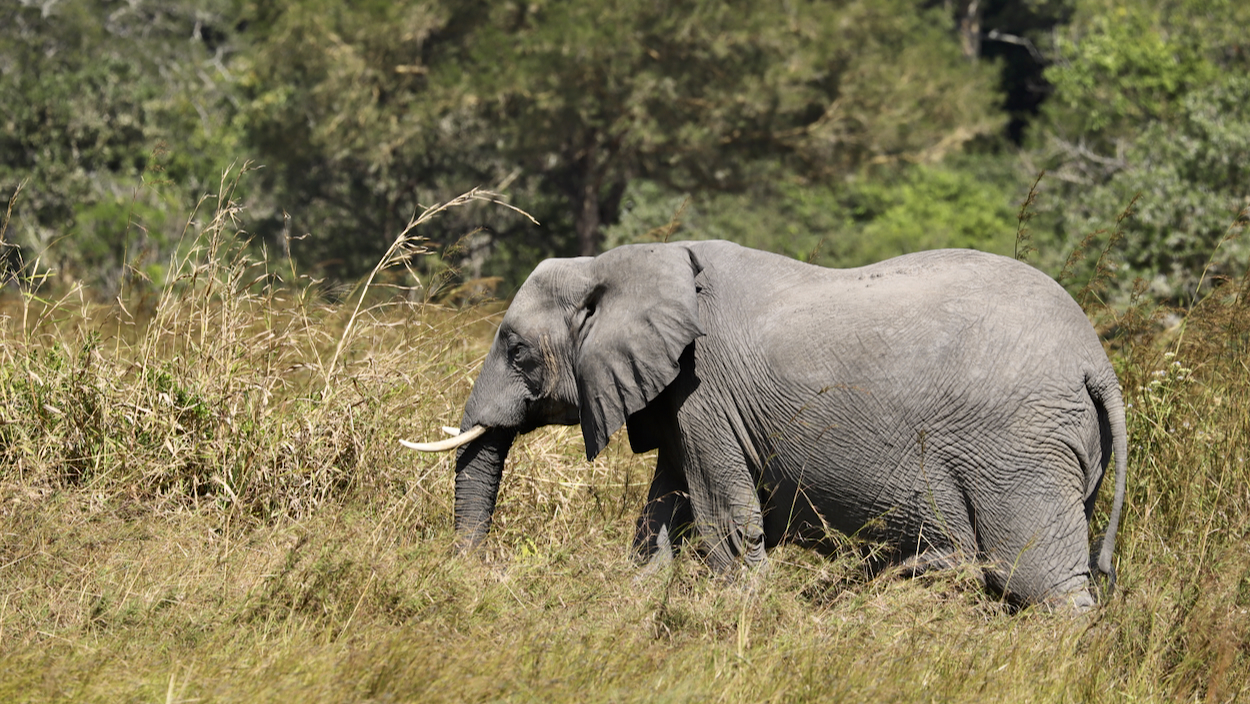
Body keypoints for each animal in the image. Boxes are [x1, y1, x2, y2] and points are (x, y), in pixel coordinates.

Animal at [405, 238, 1130, 612]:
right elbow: (664, 508)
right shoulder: (683, 401)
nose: (474, 578)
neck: (625, 262)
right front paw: (639, 603)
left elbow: (723, 518)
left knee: (1040, 582)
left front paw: (739, 620)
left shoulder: (706, 393)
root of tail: (1095, 363)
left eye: (517, 351)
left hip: (1018, 450)